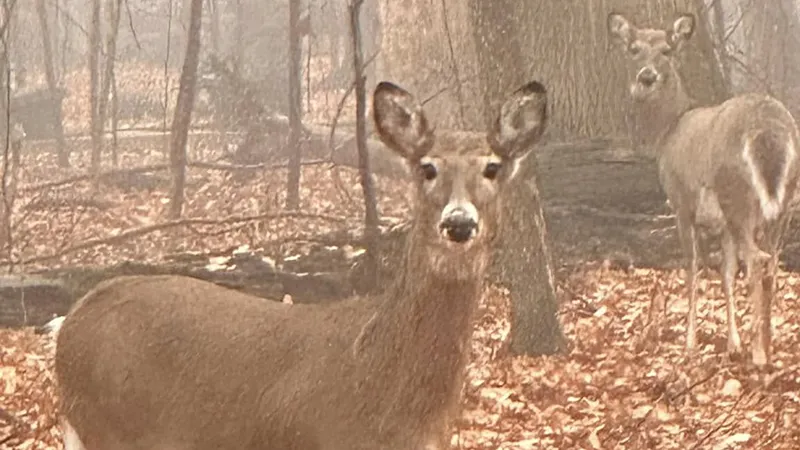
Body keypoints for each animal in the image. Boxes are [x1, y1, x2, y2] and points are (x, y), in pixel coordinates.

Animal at [608, 12, 796, 368]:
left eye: (667, 50)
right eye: (634, 48)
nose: (646, 77)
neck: (669, 129)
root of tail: (768, 129)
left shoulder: (681, 202)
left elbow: (693, 272)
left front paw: (690, 343)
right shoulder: (721, 225)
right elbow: (725, 274)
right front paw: (733, 343)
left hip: (736, 193)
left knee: (757, 260)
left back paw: (759, 353)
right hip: (784, 199)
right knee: (772, 262)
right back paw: (769, 343)